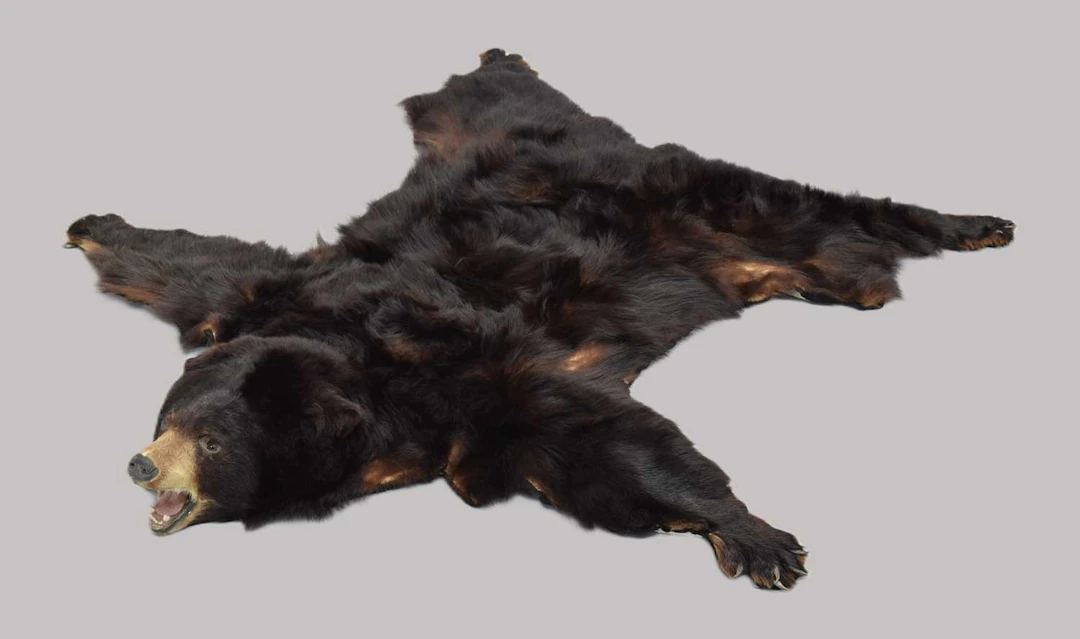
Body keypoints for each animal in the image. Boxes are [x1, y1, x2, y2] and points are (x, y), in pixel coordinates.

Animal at [64, 49, 1015, 591]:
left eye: (213, 441)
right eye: (169, 415)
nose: (141, 464)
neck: (360, 379)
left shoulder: (472, 373)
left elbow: (604, 437)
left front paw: (756, 537)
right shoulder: (257, 300)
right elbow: (192, 263)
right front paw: (90, 225)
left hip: (711, 191)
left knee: (830, 204)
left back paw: (973, 224)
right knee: (479, 94)